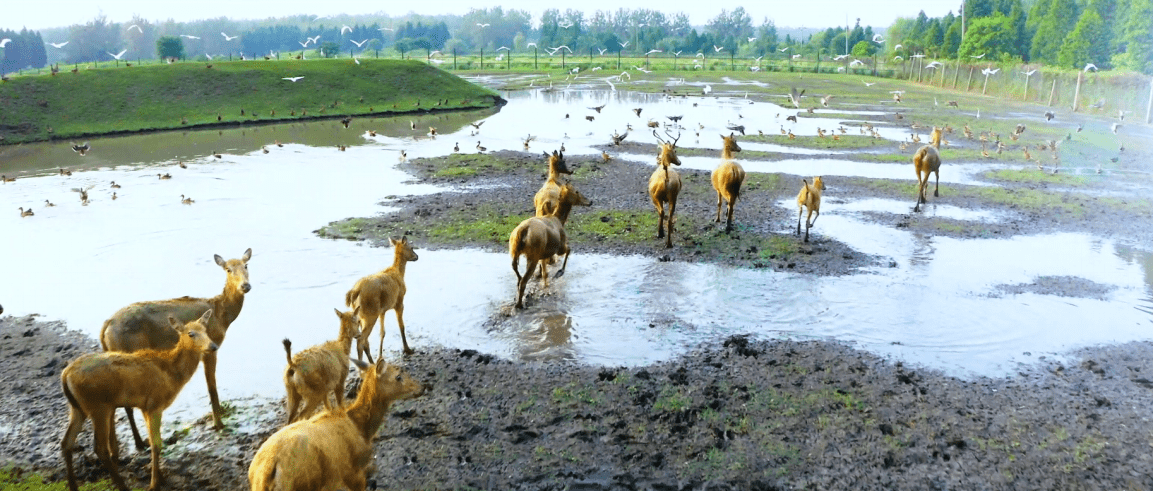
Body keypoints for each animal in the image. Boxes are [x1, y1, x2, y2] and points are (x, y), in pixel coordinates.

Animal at [62, 311, 217, 491]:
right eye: (191, 333)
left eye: (205, 330)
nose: (213, 346)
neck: (171, 374)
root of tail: (65, 374)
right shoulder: (155, 404)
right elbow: (156, 444)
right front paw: (154, 483)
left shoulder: (145, 407)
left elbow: (151, 440)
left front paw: (160, 477)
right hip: (98, 406)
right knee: (99, 447)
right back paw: (122, 486)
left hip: (77, 408)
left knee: (66, 443)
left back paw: (73, 486)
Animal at [99, 248, 252, 449]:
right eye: (228, 269)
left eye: (246, 265)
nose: (245, 286)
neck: (222, 316)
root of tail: (105, 327)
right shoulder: (211, 347)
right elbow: (211, 386)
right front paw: (219, 424)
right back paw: (140, 443)